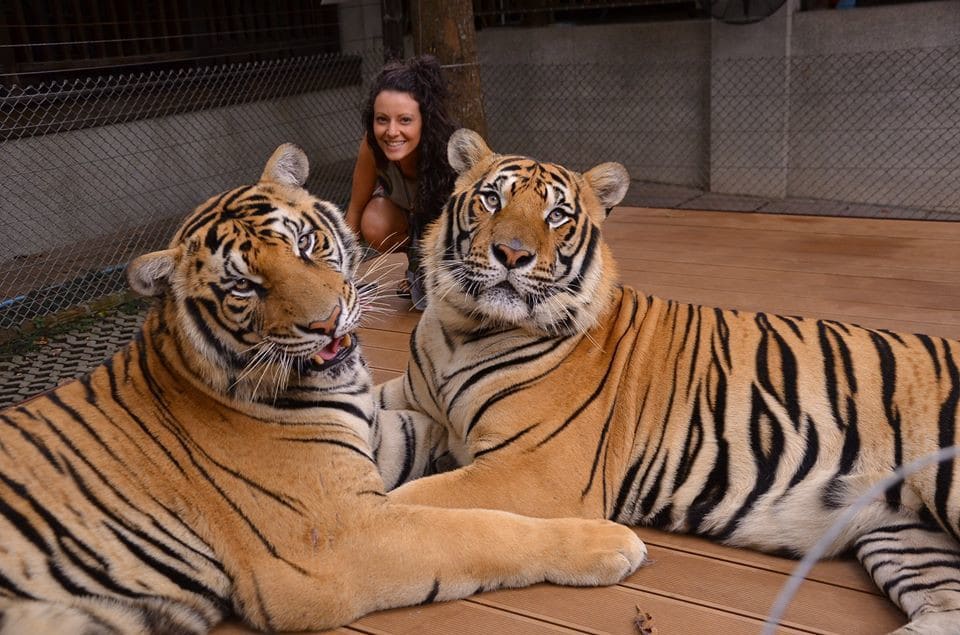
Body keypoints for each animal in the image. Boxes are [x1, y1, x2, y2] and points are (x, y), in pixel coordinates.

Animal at [0, 142, 648, 632]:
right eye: (244, 287)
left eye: (305, 244)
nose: (326, 322)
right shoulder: (336, 539)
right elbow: (479, 527)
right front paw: (609, 545)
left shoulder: (379, 437)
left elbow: (435, 441)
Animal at [380, 130, 960, 635]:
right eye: (491, 200)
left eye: (557, 215)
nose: (513, 254)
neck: (463, 328)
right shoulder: (413, 398)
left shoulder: (535, 470)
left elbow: (418, 499)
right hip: (905, 535)